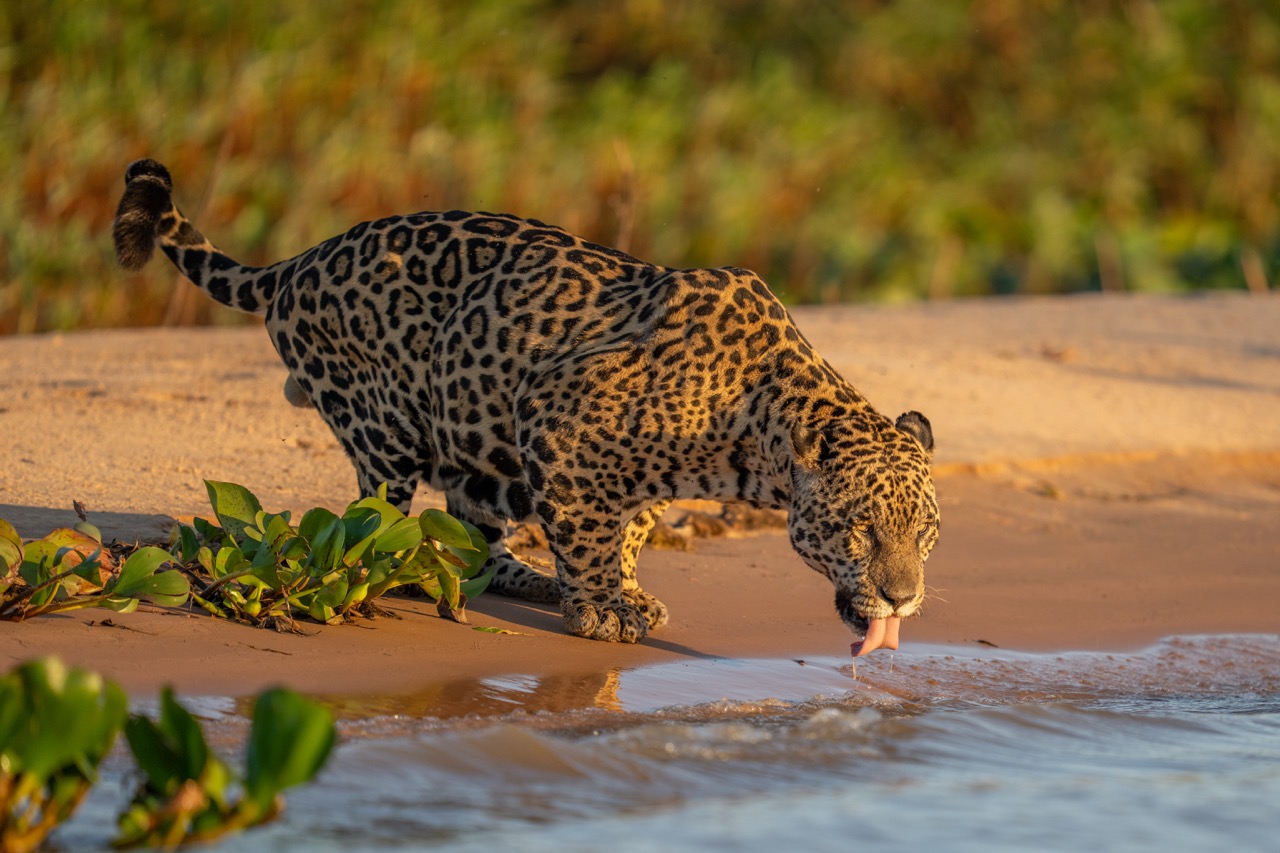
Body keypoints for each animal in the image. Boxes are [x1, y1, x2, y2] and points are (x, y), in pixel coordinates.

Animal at [112, 158, 940, 653]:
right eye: (861, 529)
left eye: (925, 532)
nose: (901, 598)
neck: (752, 427)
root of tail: (298, 261)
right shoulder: (559, 419)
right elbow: (590, 530)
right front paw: (601, 606)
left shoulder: (630, 474)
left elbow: (625, 529)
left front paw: (623, 590)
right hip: (387, 428)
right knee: (373, 524)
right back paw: (412, 569)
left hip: (480, 458)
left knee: (474, 540)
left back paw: (527, 577)